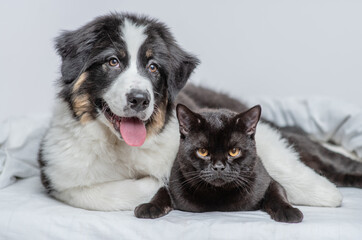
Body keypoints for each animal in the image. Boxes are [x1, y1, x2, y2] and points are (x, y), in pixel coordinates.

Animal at [39, 13, 342, 210]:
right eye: (113, 61)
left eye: (153, 67)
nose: (139, 99)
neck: (122, 146)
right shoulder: (60, 175)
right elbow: (100, 194)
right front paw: (157, 183)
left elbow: (277, 163)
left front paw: (327, 194)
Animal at [134, 105, 304, 223]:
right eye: (202, 151)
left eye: (234, 151)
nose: (219, 166)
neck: (218, 195)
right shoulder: (174, 181)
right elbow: (161, 191)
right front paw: (149, 206)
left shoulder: (267, 181)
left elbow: (278, 193)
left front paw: (289, 211)